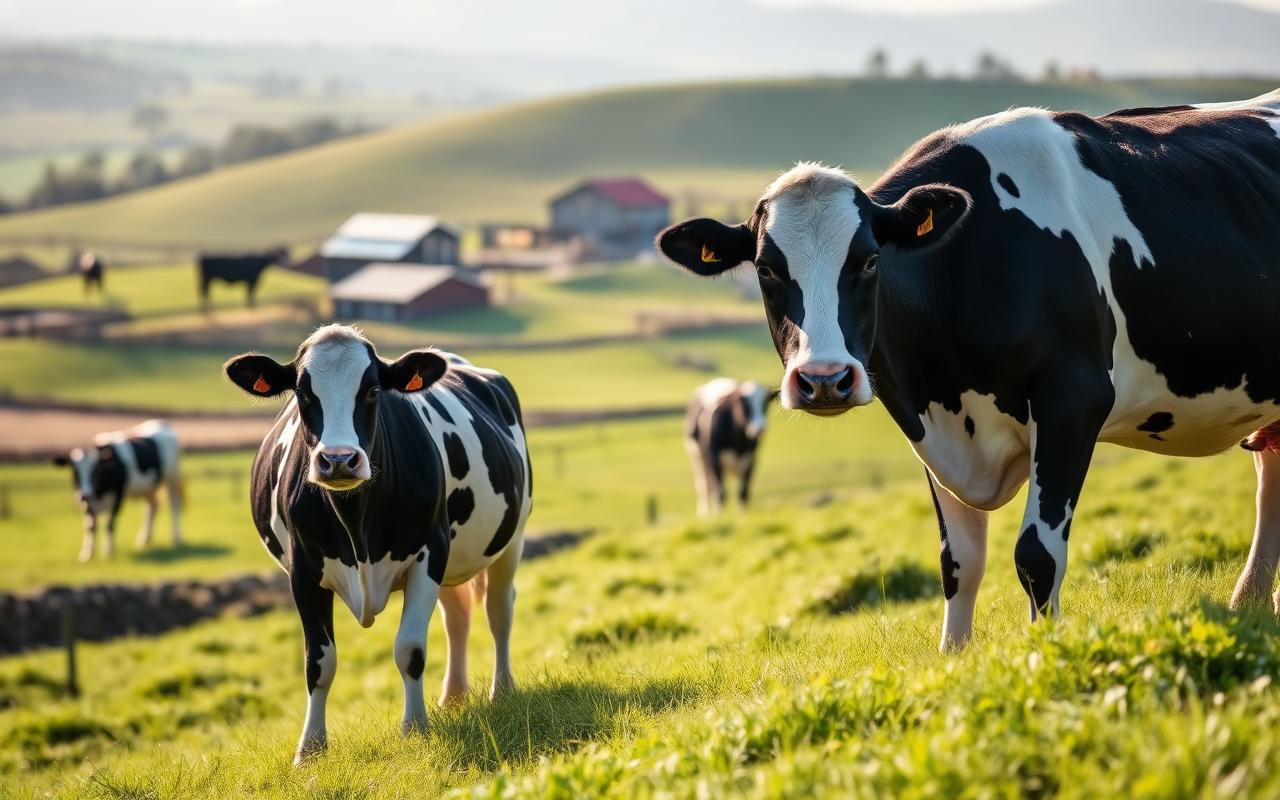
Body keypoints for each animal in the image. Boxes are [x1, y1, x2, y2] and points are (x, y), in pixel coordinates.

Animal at [52, 420, 184, 561]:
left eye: (97, 470)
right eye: (75, 471)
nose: (84, 495)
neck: (100, 492)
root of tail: (160, 423)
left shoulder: (118, 495)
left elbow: (110, 524)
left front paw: (108, 552)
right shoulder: (88, 503)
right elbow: (90, 527)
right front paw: (87, 554)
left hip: (172, 478)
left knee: (174, 506)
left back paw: (176, 538)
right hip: (148, 487)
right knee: (152, 507)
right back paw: (144, 540)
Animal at [223, 324, 532, 764]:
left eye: (372, 391)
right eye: (302, 393)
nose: (338, 460)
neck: (356, 525)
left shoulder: (427, 554)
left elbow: (410, 650)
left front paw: (415, 728)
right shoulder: (303, 572)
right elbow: (319, 662)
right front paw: (310, 749)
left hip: (511, 537)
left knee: (498, 612)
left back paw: (500, 691)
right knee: (458, 617)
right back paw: (453, 698)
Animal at [685, 378, 773, 516]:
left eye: (765, 405)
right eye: (745, 405)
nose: (759, 429)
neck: (739, 445)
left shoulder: (751, 459)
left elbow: (743, 493)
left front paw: (742, 517)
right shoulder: (714, 457)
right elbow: (720, 492)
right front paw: (718, 517)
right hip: (697, 457)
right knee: (704, 486)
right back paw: (704, 514)